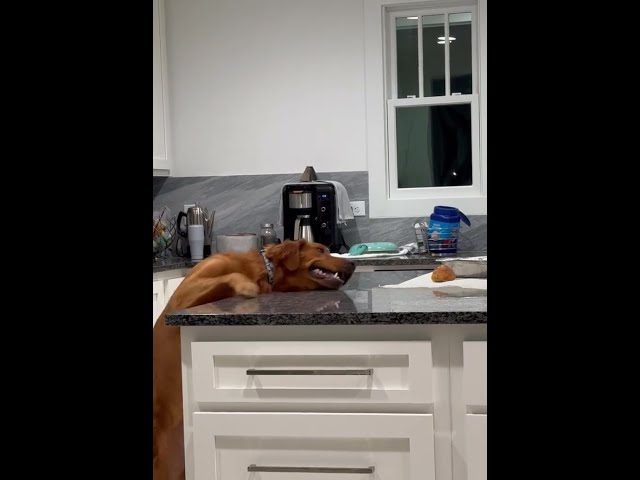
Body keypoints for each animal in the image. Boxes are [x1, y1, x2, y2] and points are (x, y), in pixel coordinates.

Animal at [153, 239, 355, 480]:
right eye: (320, 250)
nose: (353, 264)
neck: (264, 270)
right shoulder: (184, 296)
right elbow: (231, 276)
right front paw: (248, 286)